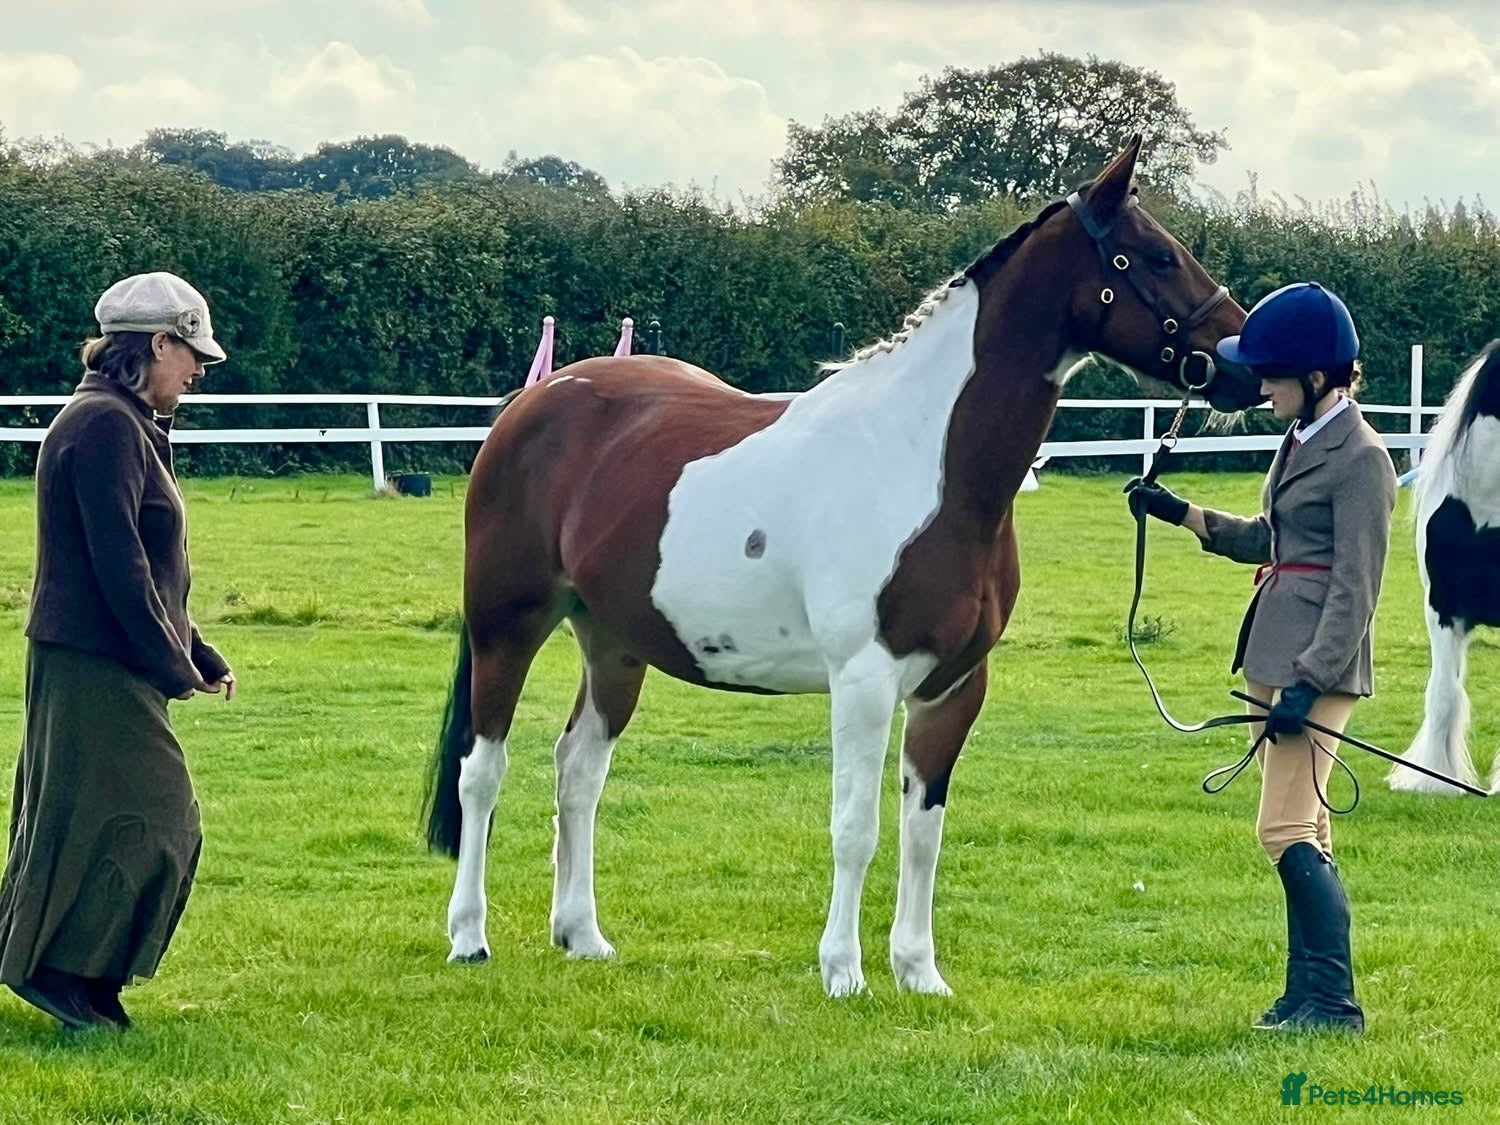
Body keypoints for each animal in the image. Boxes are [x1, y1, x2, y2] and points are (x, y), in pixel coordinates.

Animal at [421, 136, 1264, 997]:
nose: (1245, 362)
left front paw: (919, 971)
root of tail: (531, 404)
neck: (926, 461)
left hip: (613, 644)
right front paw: (845, 972)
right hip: (506, 628)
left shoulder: (953, 686)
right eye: (1158, 257)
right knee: (481, 771)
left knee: (580, 769)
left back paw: (581, 933)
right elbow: (856, 827)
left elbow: (923, 829)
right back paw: (468, 935)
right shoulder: (864, 679)